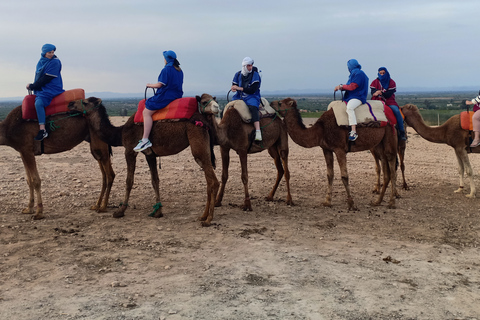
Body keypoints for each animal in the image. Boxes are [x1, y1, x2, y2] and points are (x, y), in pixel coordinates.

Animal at [68, 96, 220, 226]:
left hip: (197, 142)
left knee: (213, 181)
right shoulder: (150, 155)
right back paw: (203, 216)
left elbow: (129, 181)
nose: (70, 104)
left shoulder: (129, 150)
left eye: (85, 102)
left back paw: (208, 219)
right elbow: (155, 180)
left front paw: (120, 211)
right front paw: (158, 211)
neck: (120, 133)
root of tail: (204, 121)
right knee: (209, 180)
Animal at [270, 97, 398, 210]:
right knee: (385, 166)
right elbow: (329, 174)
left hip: (390, 134)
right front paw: (327, 201)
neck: (321, 130)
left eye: (280, 103)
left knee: (391, 165)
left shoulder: (339, 149)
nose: (271, 103)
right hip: (379, 143)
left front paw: (351, 204)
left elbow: (344, 176)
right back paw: (378, 201)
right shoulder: (326, 149)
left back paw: (391, 202)